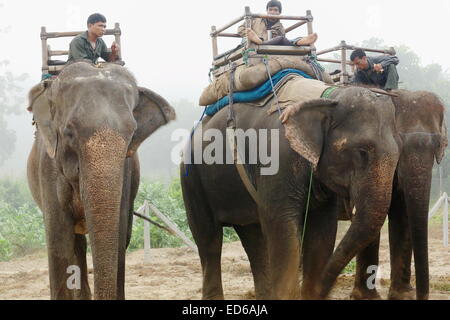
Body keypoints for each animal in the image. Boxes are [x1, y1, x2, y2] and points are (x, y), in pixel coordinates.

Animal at [27, 60, 176, 300]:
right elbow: (59, 241)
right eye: (68, 133)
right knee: (75, 244)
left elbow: (119, 236)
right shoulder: (48, 169)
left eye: (132, 133)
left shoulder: (125, 172)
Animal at [181, 85, 400, 300]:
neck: (326, 97)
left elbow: (322, 233)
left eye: (398, 156)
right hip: (191, 179)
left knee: (252, 238)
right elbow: (283, 230)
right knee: (209, 239)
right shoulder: (277, 162)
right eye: (362, 152)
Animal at [344, 89, 446, 300]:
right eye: (399, 145)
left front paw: (402, 295)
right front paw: (366, 298)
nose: (421, 296)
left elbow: (402, 214)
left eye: (437, 144)